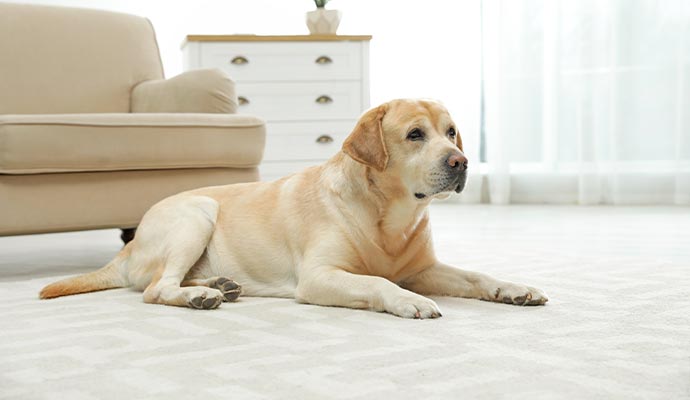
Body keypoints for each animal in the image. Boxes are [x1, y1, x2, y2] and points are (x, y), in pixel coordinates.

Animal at [41, 99, 548, 318]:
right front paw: (409, 300)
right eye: (415, 135)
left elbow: (476, 276)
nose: (461, 161)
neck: (390, 218)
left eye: (452, 131)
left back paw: (217, 285)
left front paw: (513, 288)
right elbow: (377, 282)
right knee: (155, 289)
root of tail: (126, 250)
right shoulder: (320, 277)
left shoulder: (424, 268)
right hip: (196, 213)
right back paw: (199, 296)